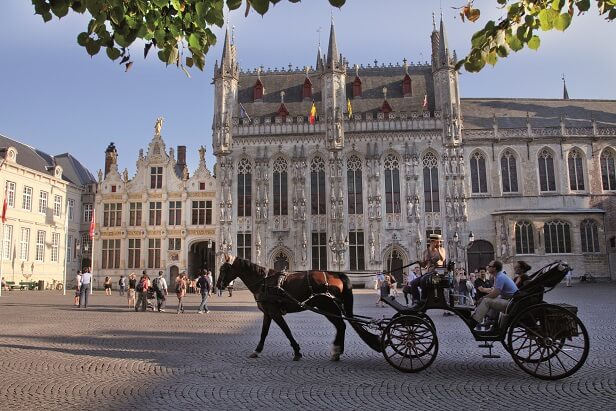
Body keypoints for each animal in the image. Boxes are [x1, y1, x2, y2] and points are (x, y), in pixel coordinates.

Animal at [217, 256, 380, 362]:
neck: (263, 282)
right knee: (342, 325)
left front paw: (297, 351)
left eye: (224, 268)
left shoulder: (274, 312)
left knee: (341, 324)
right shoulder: (268, 313)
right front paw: (257, 350)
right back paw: (337, 352)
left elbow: (286, 330)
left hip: (327, 305)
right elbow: (264, 333)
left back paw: (336, 351)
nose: (218, 286)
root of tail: (336, 273)